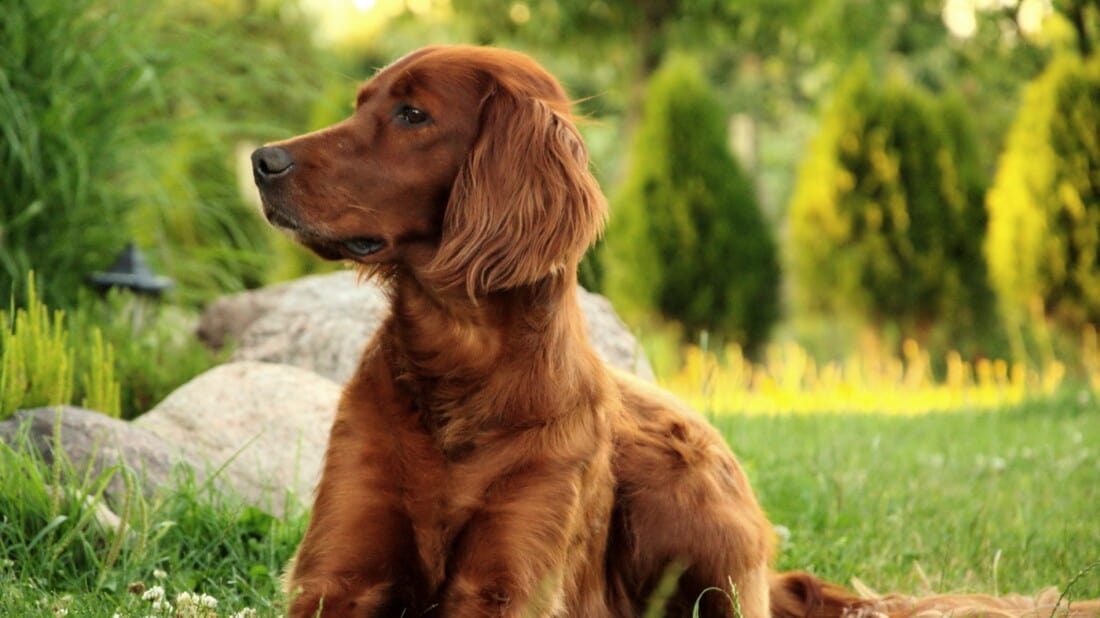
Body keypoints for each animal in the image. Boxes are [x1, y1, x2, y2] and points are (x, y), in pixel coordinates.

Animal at [251, 44, 1100, 615]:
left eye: (413, 114)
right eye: (361, 103)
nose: (263, 158)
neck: (459, 367)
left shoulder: (506, 584)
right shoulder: (339, 577)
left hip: (681, 494)